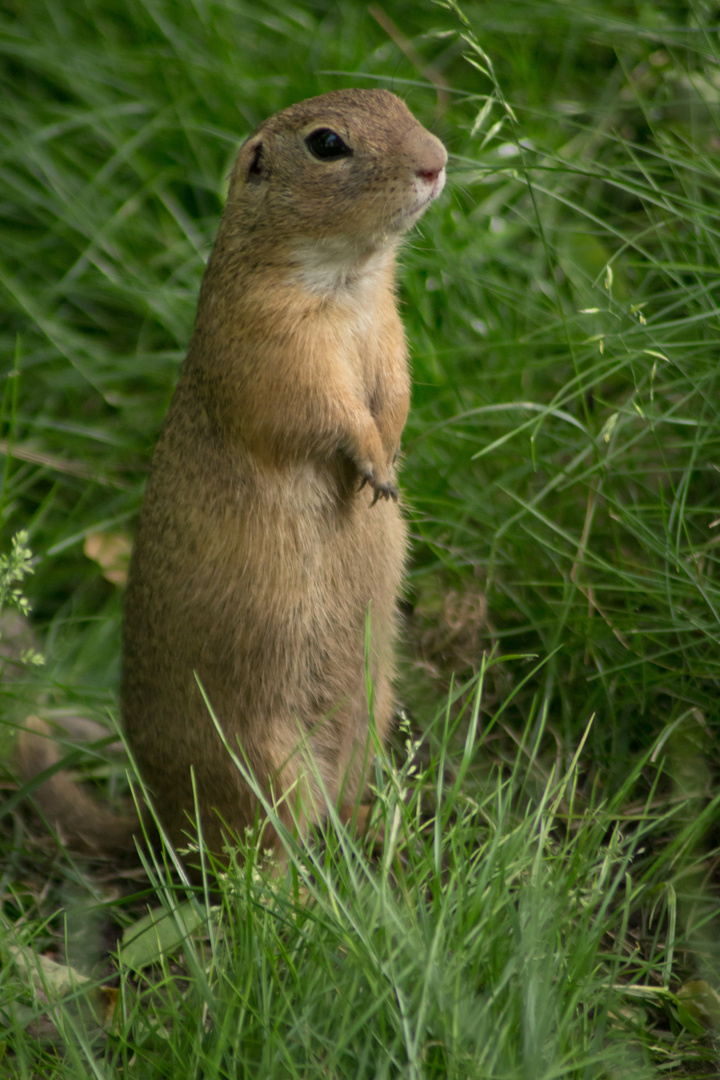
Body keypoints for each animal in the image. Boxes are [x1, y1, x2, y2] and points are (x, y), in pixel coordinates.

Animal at [18, 86, 444, 859]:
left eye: (397, 100)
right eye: (327, 143)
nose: (437, 161)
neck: (348, 282)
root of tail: (159, 822)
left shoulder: (390, 334)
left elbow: (395, 392)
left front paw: (390, 458)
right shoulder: (277, 348)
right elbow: (327, 411)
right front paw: (375, 464)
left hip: (368, 718)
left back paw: (377, 829)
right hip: (266, 764)